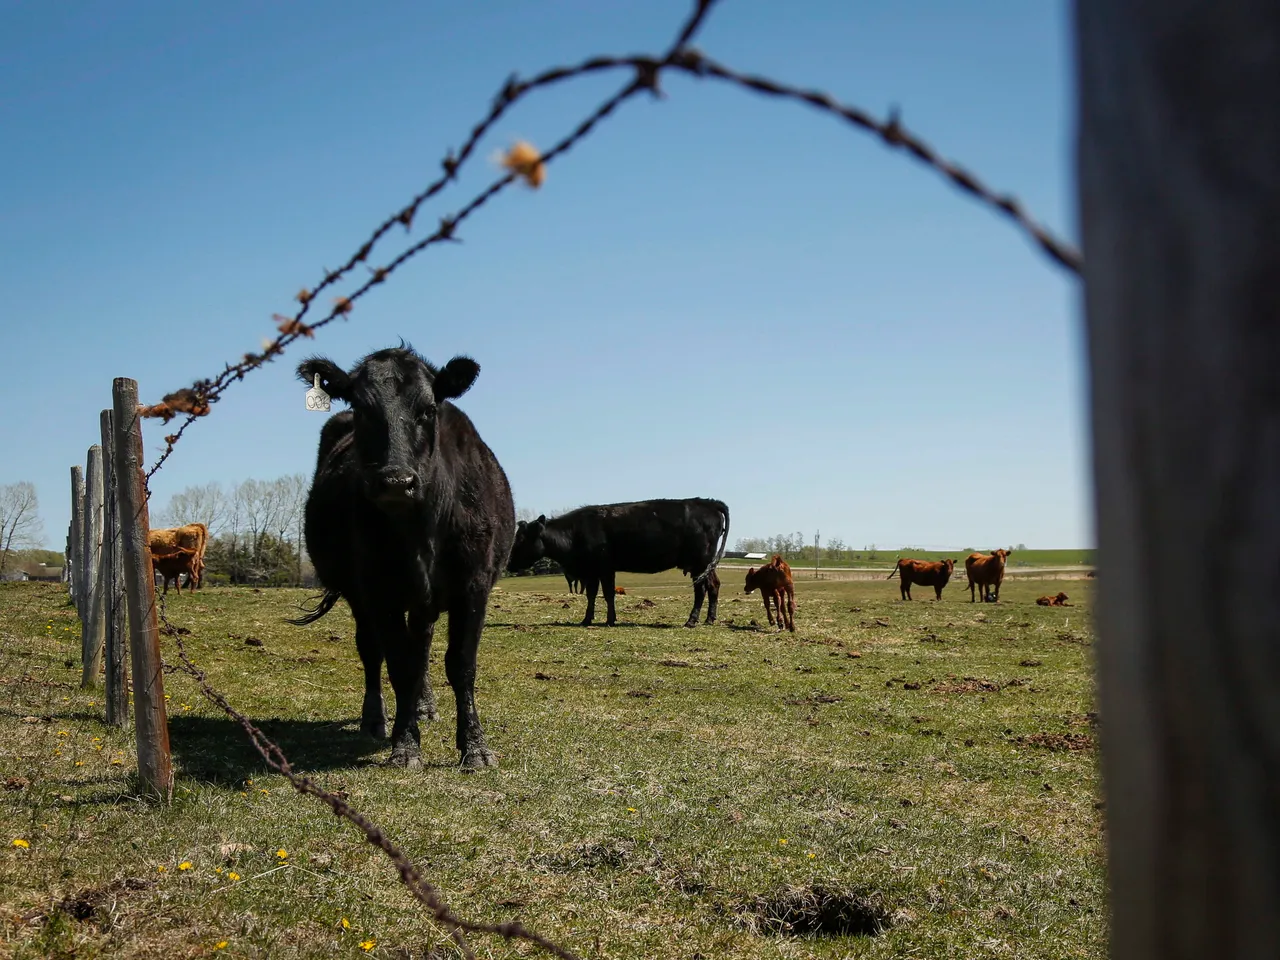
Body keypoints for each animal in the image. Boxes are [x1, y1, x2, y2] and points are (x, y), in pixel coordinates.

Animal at [286, 345, 514, 773]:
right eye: (362, 408)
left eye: (427, 408)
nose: (396, 481)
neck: (421, 531)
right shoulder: (379, 591)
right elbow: (398, 664)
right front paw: (405, 744)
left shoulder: (474, 586)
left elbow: (461, 665)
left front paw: (475, 747)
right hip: (359, 595)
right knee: (372, 651)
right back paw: (376, 718)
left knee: (422, 643)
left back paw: (423, 705)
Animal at [506, 496, 732, 632]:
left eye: (521, 539)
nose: (508, 564)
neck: (574, 533)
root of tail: (707, 502)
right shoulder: (592, 571)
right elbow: (592, 594)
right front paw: (587, 619)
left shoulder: (604, 567)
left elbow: (608, 594)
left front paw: (609, 620)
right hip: (706, 564)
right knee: (713, 585)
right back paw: (709, 619)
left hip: (699, 562)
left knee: (700, 590)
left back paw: (691, 620)